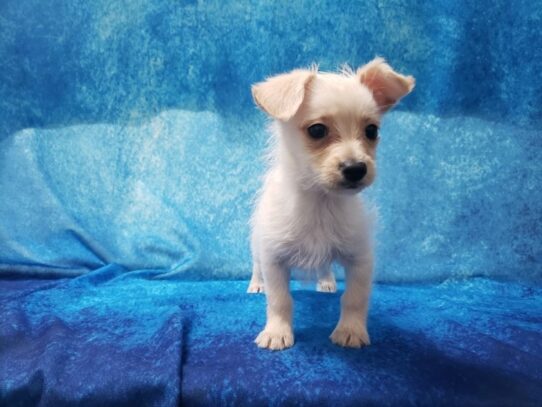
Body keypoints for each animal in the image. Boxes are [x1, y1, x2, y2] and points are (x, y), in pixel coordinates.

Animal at [250, 57, 416, 350]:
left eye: (372, 130)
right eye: (317, 130)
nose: (356, 169)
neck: (321, 201)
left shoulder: (361, 258)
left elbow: (354, 298)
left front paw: (350, 331)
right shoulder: (273, 259)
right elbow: (279, 300)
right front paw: (277, 332)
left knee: (324, 266)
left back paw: (326, 282)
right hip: (257, 245)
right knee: (256, 267)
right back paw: (255, 285)